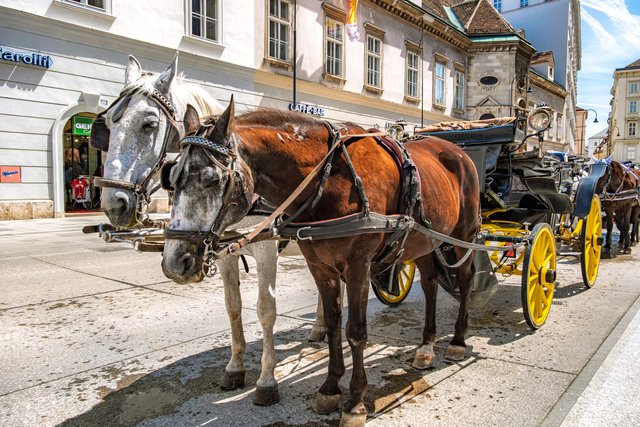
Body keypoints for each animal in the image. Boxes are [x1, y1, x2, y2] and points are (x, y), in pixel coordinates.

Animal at [90, 55, 326, 406]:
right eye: (108, 123)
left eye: (149, 124)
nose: (113, 202)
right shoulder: (224, 251)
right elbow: (233, 306)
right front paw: (235, 367)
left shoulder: (266, 249)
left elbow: (265, 310)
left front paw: (267, 379)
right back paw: (320, 328)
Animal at [161, 98, 479, 425]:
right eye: (170, 178)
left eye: (211, 179)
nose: (175, 262)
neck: (330, 178)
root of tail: (455, 150)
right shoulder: (318, 265)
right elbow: (334, 322)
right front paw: (330, 387)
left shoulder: (356, 266)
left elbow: (355, 331)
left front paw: (354, 402)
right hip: (425, 240)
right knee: (429, 286)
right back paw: (426, 346)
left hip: (463, 234)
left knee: (466, 280)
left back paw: (457, 341)